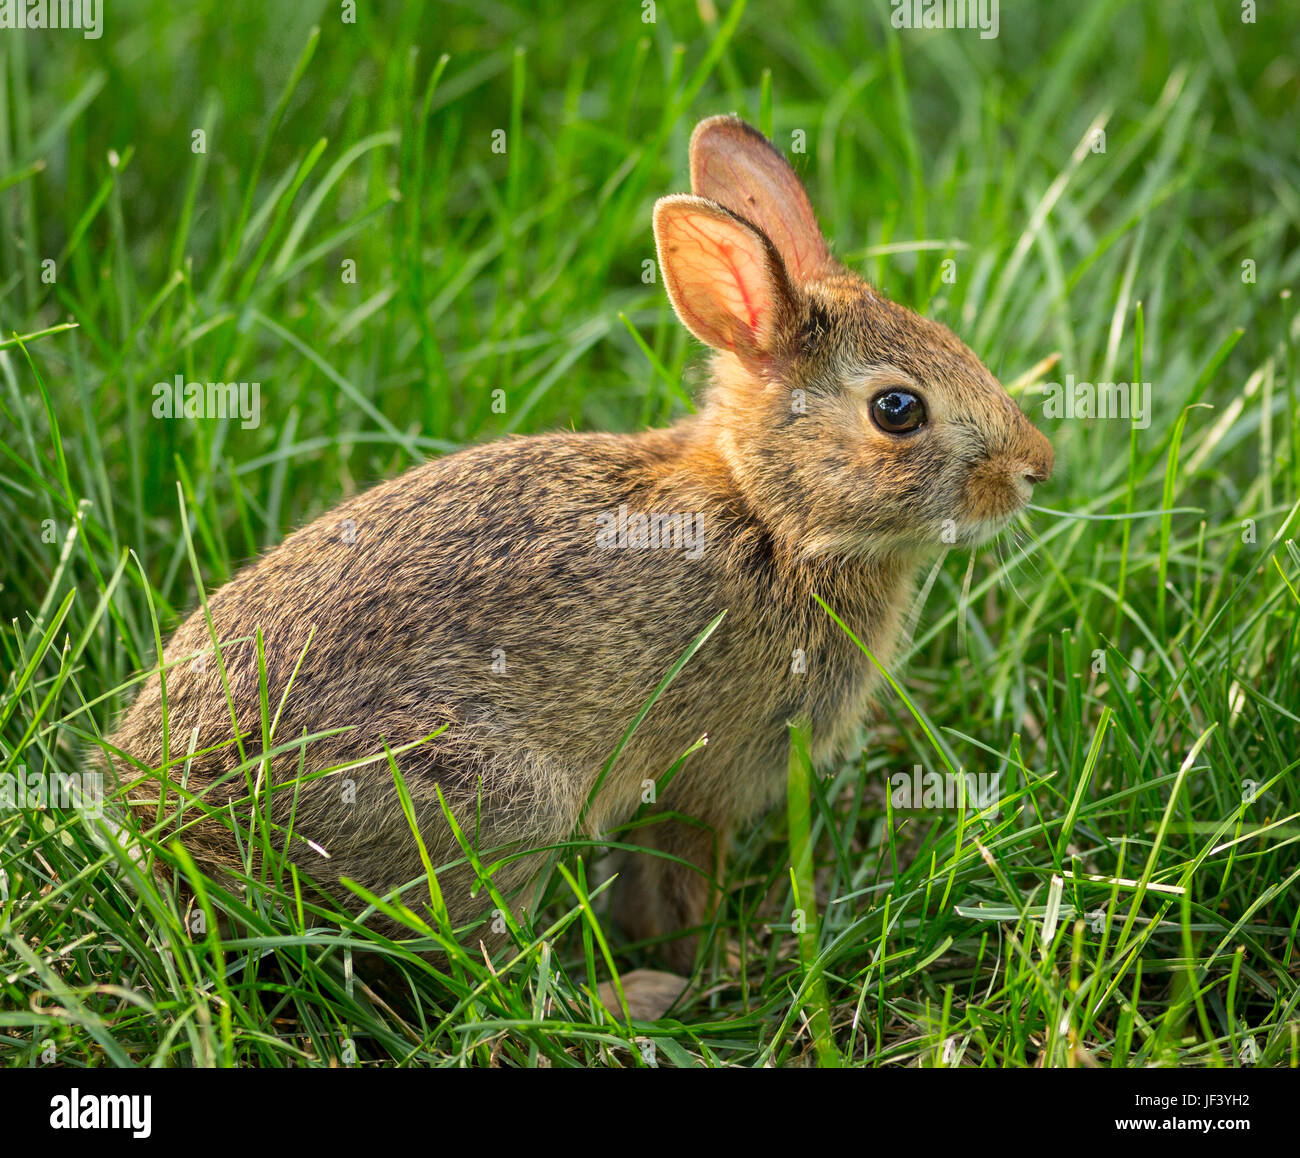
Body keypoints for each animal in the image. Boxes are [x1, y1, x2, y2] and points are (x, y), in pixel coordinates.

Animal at [104, 115, 1055, 977]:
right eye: (898, 410)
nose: (1036, 467)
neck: (770, 516)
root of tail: (169, 819)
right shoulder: (709, 774)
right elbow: (680, 880)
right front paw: (712, 968)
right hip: (500, 800)